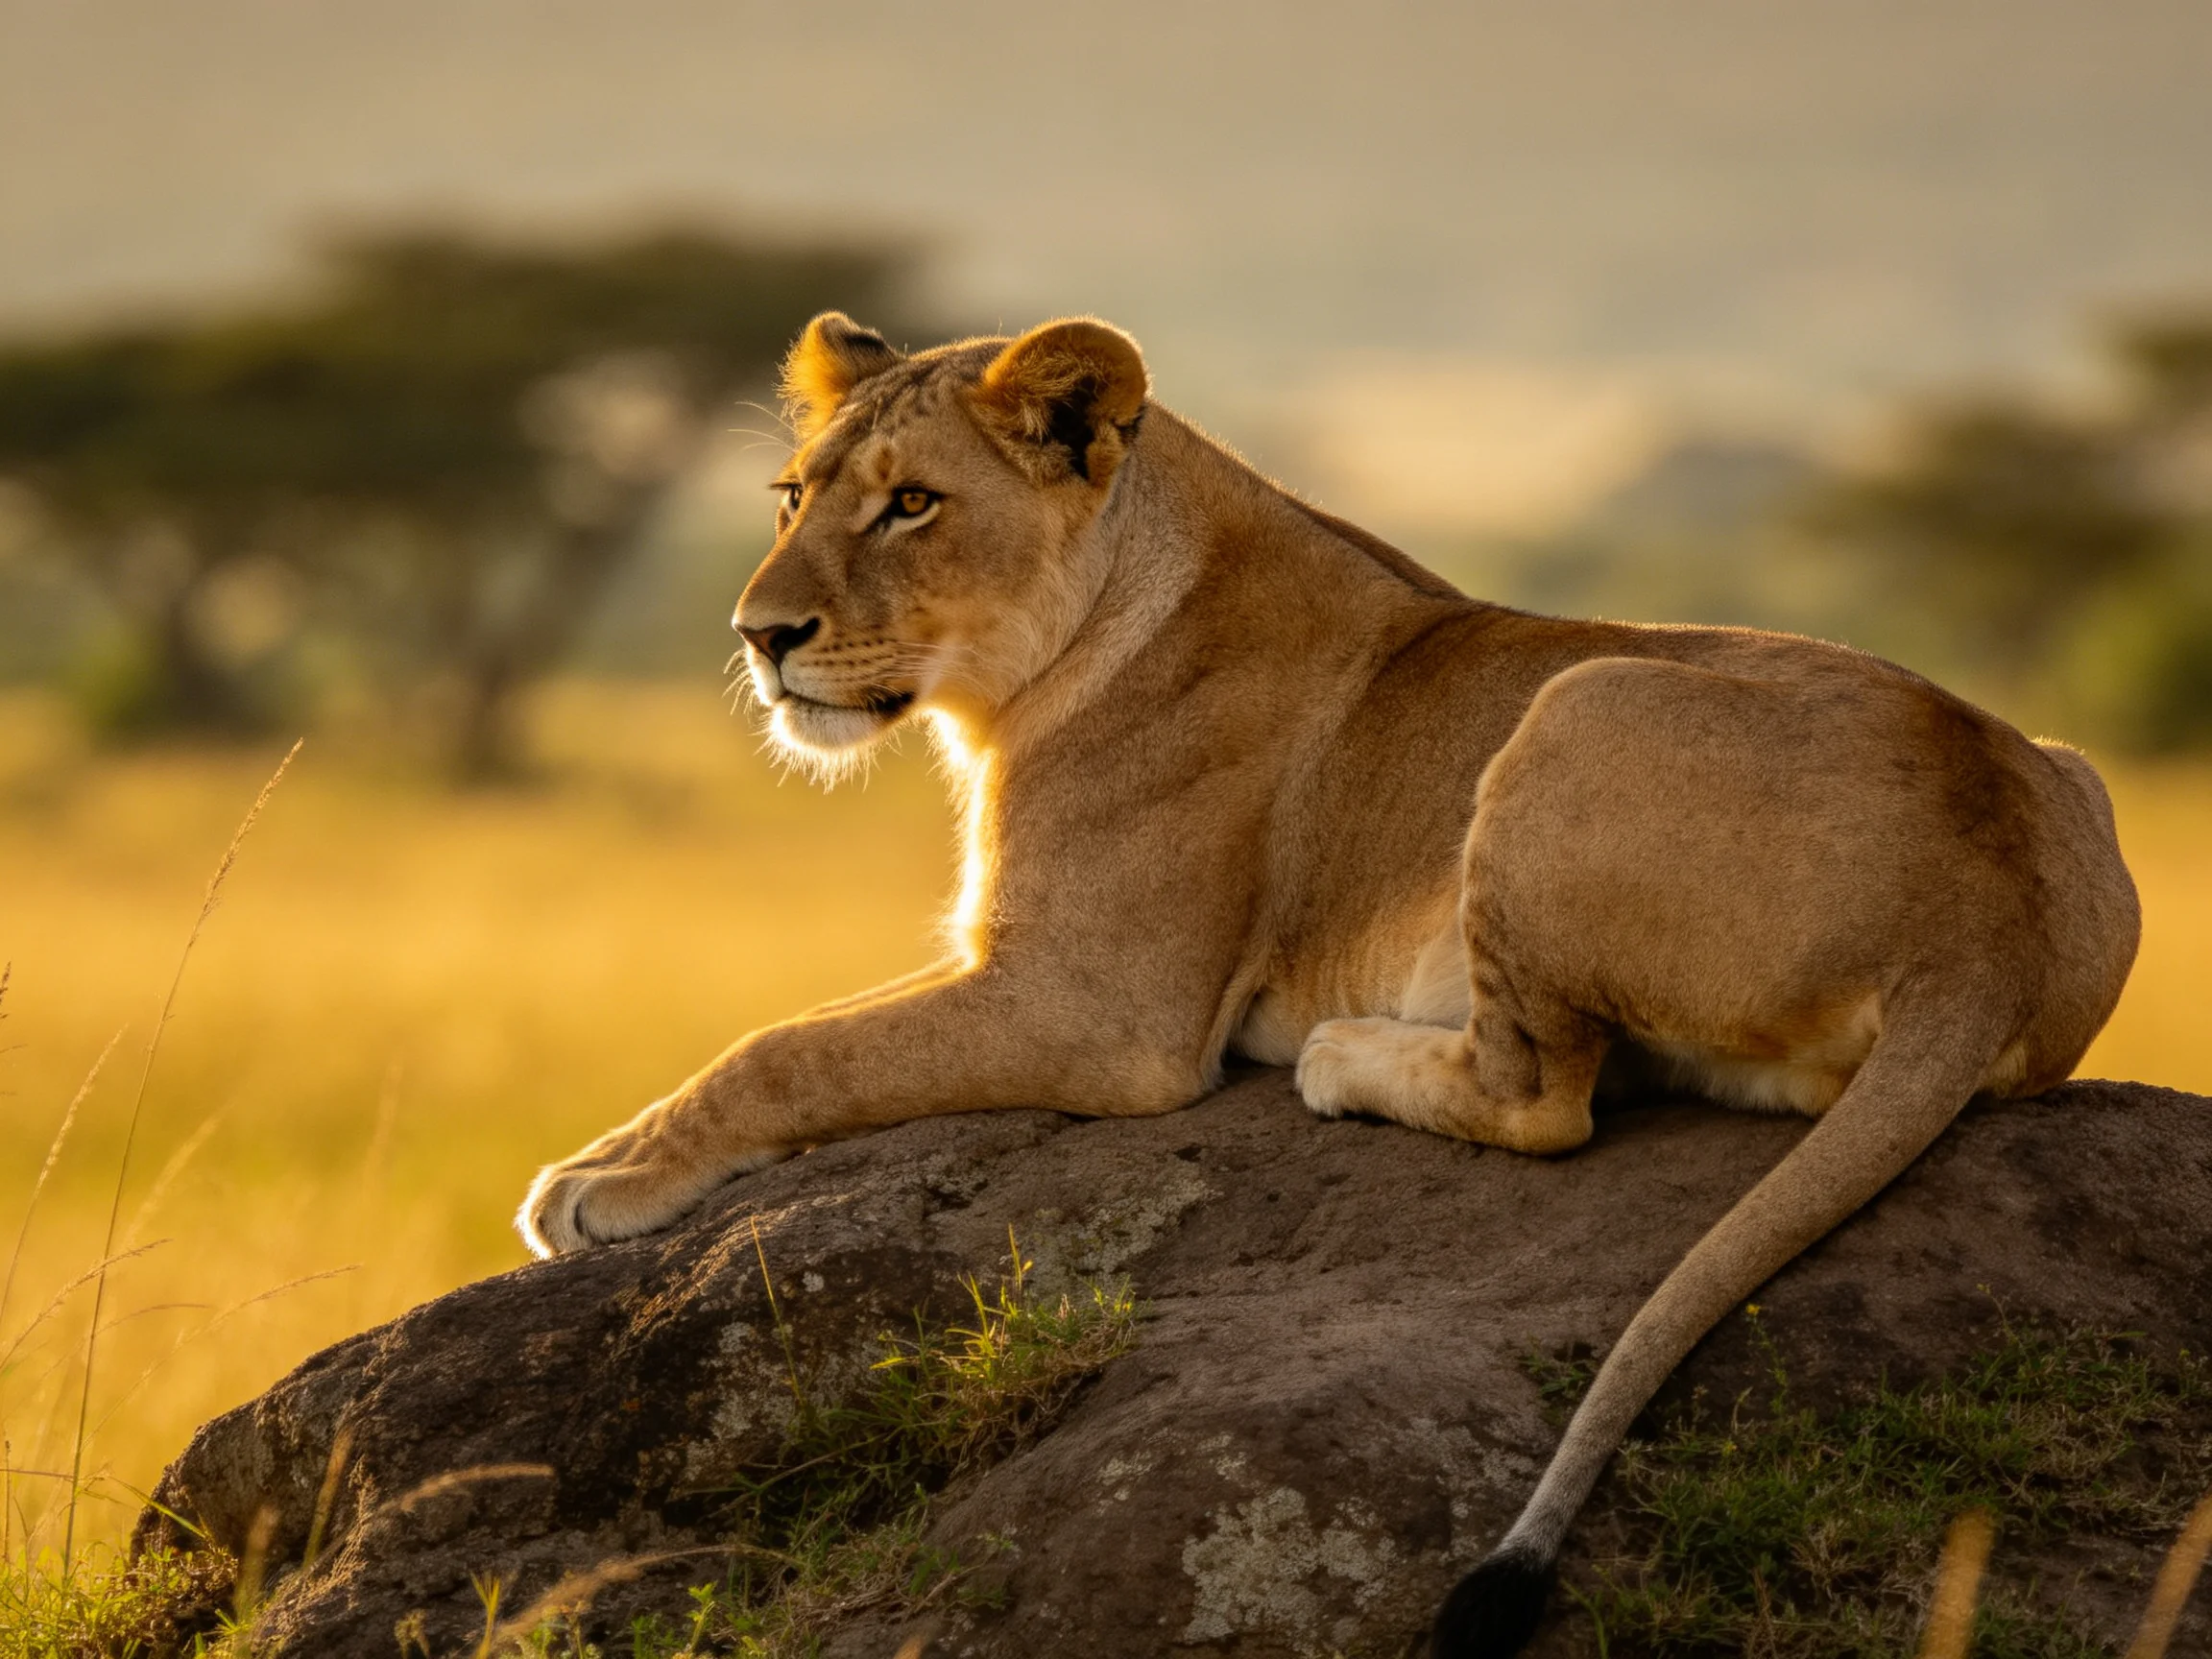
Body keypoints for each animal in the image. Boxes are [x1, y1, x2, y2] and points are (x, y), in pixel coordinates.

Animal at [519, 313, 2140, 1658]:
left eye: (911, 503)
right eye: (791, 496)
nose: (759, 637)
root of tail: (1986, 915)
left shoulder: (1104, 1016)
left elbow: (785, 1050)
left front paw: (595, 1187)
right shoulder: (1016, 967)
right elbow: (798, 1032)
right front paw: (611, 1156)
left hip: (1575, 703)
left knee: (1545, 1098)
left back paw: (1347, 1056)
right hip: (2067, 767)